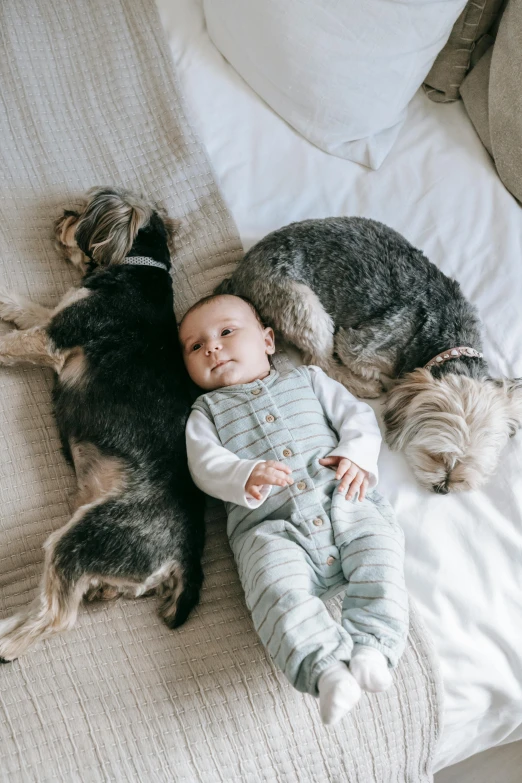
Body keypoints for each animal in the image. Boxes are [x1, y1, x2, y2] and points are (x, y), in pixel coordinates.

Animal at [217, 217, 520, 494]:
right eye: (437, 455)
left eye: (473, 460)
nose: (444, 488)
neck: (446, 339)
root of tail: (239, 274)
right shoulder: (355, 346)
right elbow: (363, 363)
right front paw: (384, 382)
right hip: (302, 305)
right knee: (321, 361)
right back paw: (366, 386)